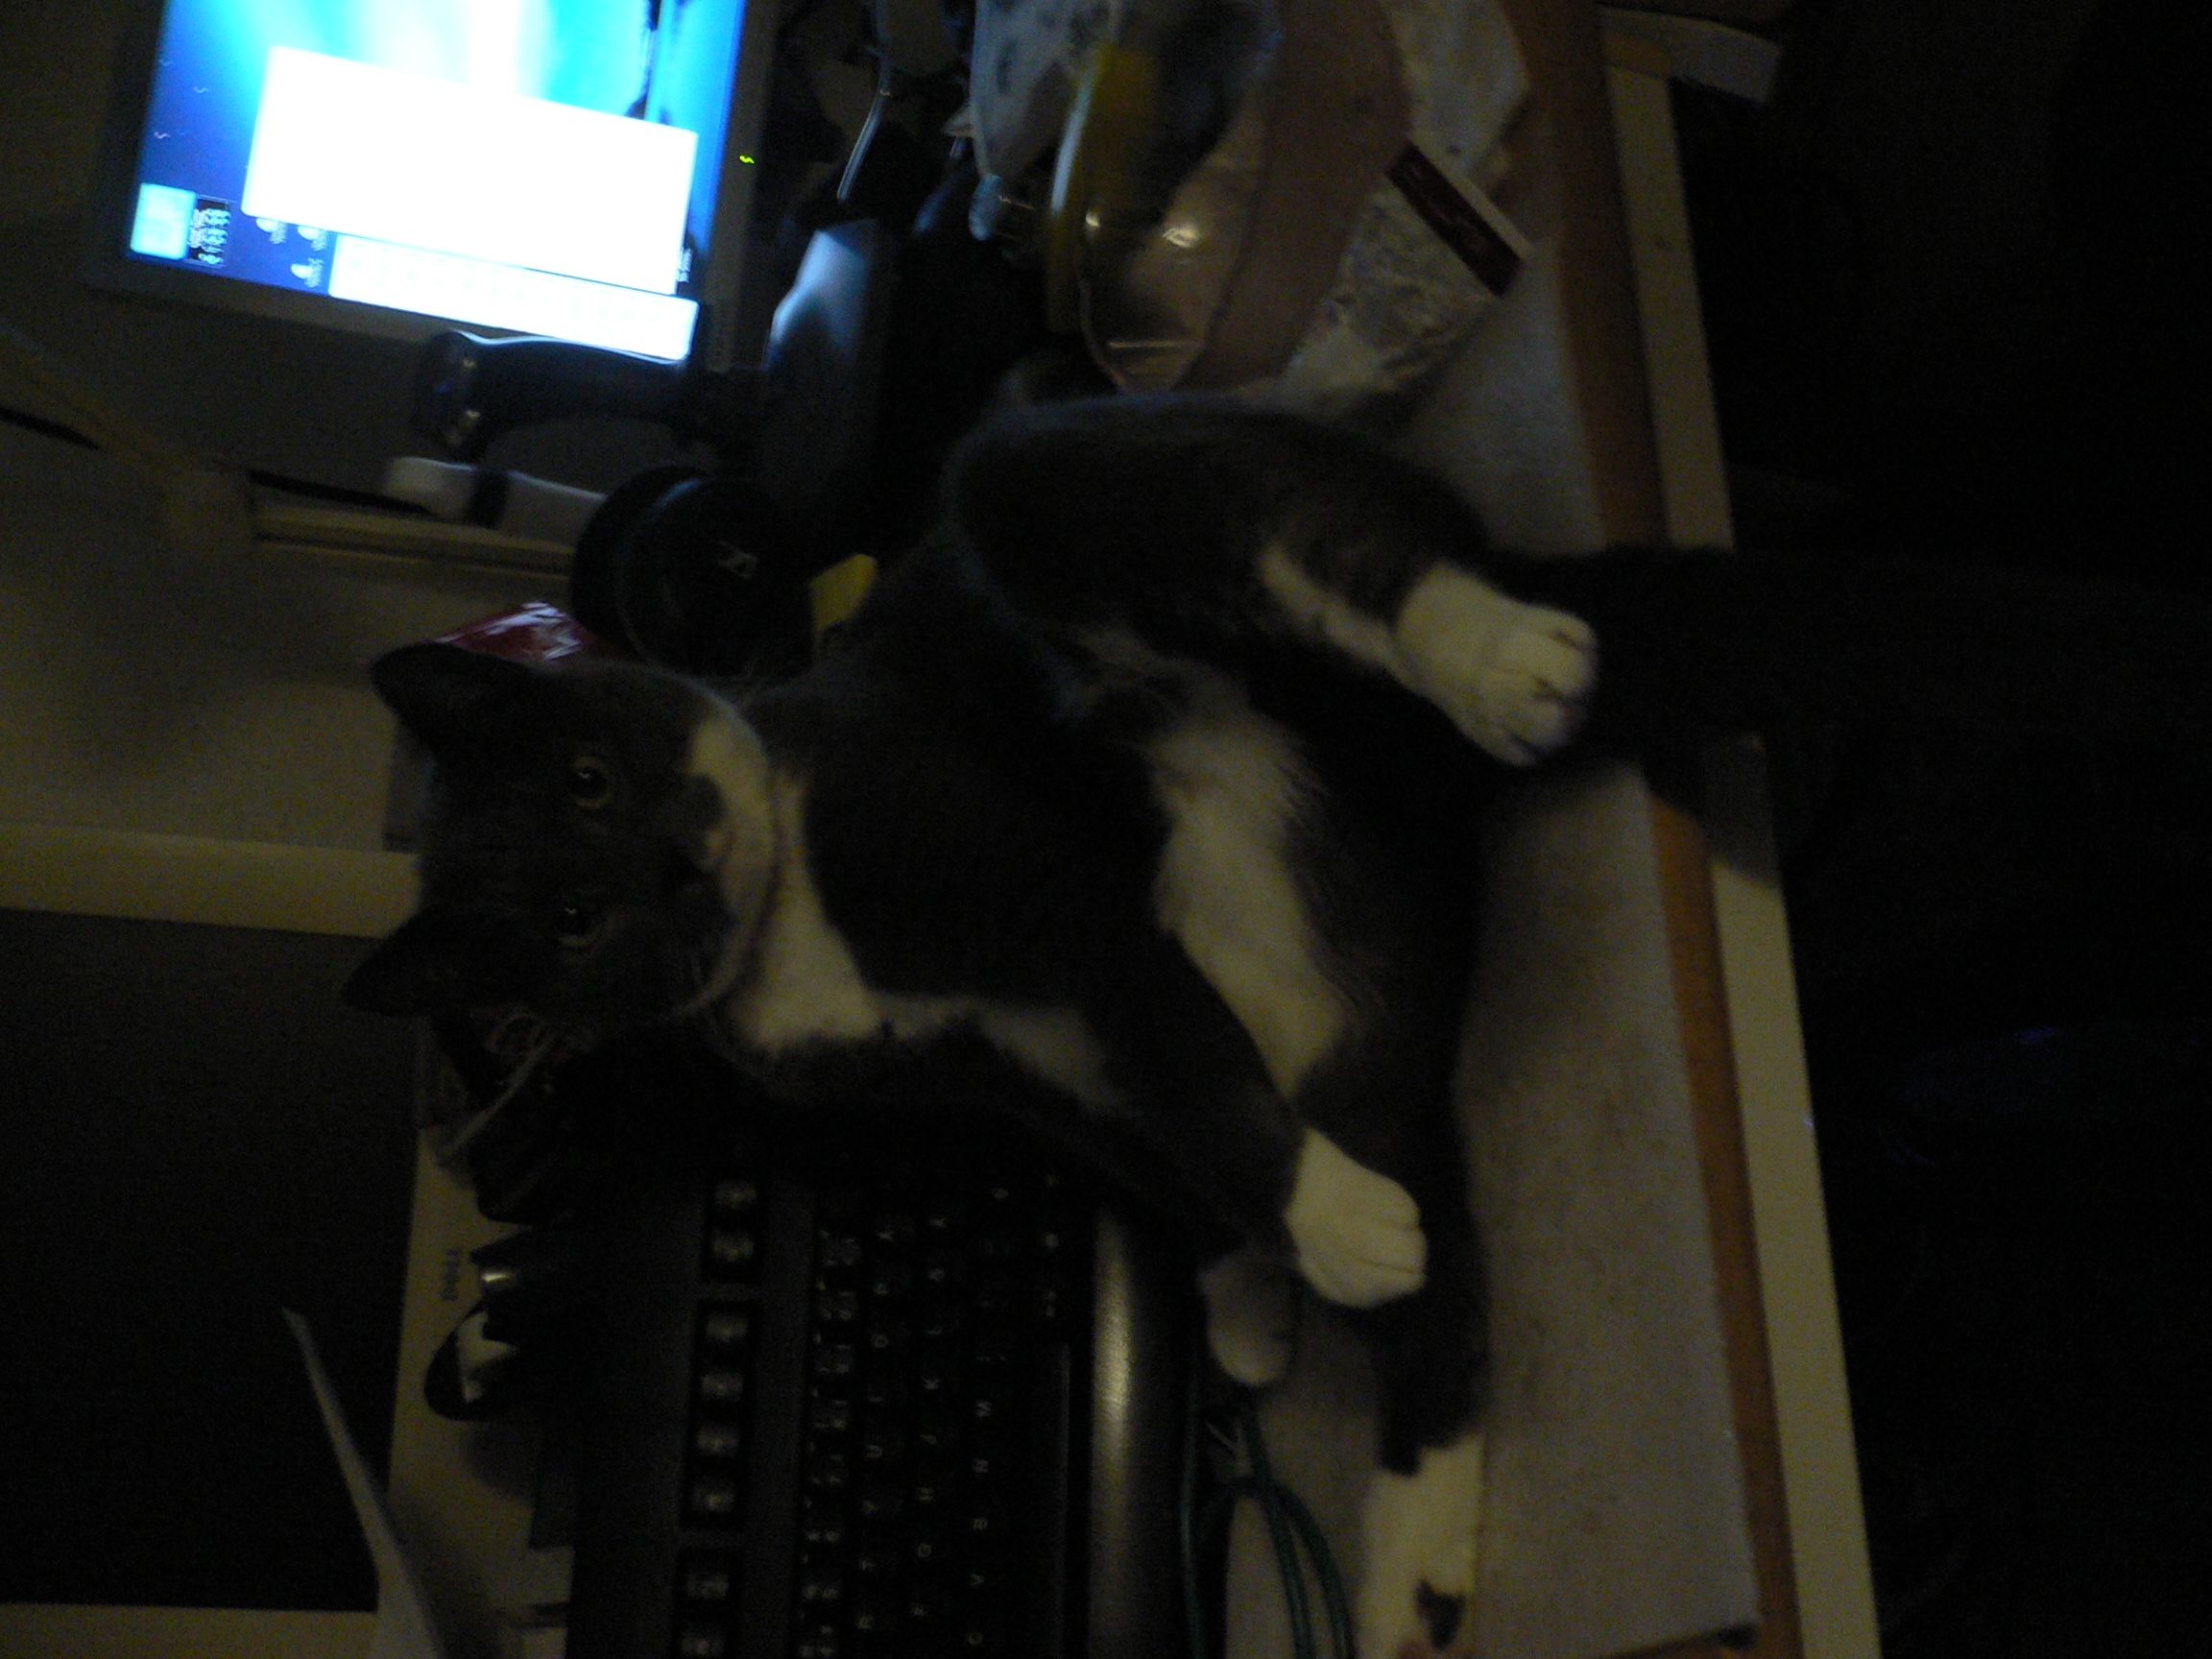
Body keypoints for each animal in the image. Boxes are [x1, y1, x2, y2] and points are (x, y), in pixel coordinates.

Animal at [346, 393, 1602, 1656]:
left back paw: (1501, 662)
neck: (786, 926)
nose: (676, 869)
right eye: (572, 923)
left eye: (589, 776)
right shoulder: (1012, 1070)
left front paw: (1320, 1220)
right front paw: (1276, 1262)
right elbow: (1168, 1144)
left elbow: (1191, 1066)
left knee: (1297, 528)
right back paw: (1413, 1588)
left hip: (1038, 483)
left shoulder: (1045, 893)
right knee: (1445, 1290)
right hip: (1360, 1058)